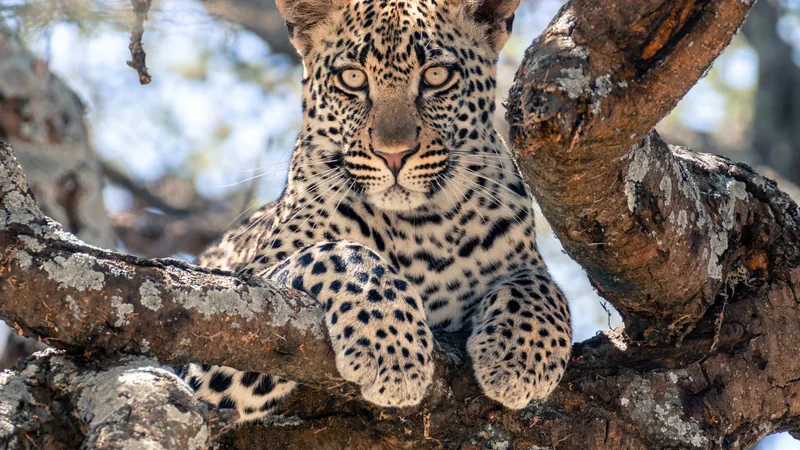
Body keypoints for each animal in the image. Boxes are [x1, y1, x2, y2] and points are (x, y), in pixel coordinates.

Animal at [179, 0, 572, 422]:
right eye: (352, 78)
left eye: (436, 76)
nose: (394, 155)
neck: (421, 227)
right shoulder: (230, 325)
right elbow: (338, 253)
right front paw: (394, 352)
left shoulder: (522, 260)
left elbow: (541, 286)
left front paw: (522, 358)